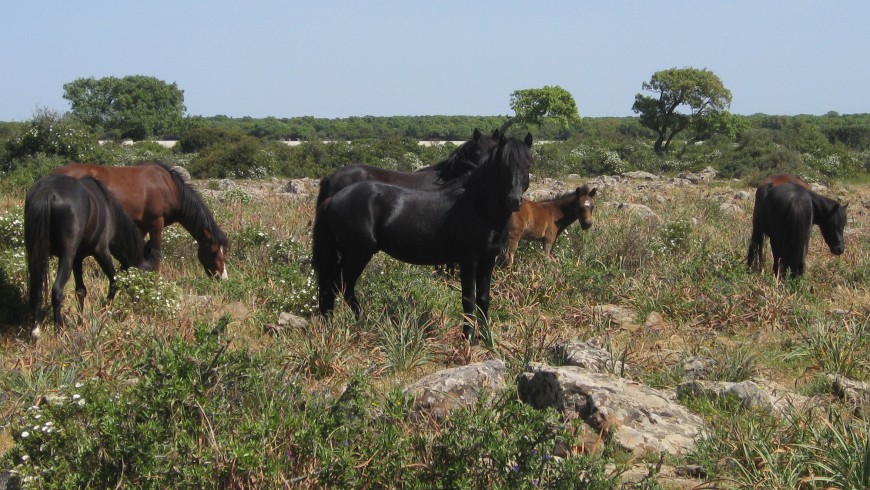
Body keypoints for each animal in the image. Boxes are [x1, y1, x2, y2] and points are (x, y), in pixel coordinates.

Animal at [25, 173, 148, 336]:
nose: (138, 302)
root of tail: (47, 192)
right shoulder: (101, 252)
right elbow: (114, 280)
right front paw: (104, 311)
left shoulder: (78, 258)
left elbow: (81, 290)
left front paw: (81, 320)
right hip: (66, 257)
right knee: (57, 290)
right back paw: (59, 330)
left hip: (36, 255)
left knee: (36, 289)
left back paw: (35, 329)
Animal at [52, 163, 230, 280]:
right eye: (214, 252)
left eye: (225, 252)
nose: (222, 277)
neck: (169, 187)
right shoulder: (156, 223)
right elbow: (155, 252)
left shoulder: (141, 226)